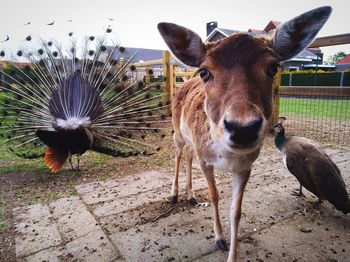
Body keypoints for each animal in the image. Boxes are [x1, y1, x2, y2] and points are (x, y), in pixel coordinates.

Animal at [159, 6, 330, 262]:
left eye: (273, 68)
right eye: (205, 72)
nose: (243, 128)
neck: (225, 157)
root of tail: (183, 84)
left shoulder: (245, 167)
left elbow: (236, 211)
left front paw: (232, 252)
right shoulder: (205, 160)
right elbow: (214, 196)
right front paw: (219, 239)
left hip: (191, 140)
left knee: (189, 155)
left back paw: (190, 195)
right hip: (177, 132)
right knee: (179, 155)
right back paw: (174, 193)